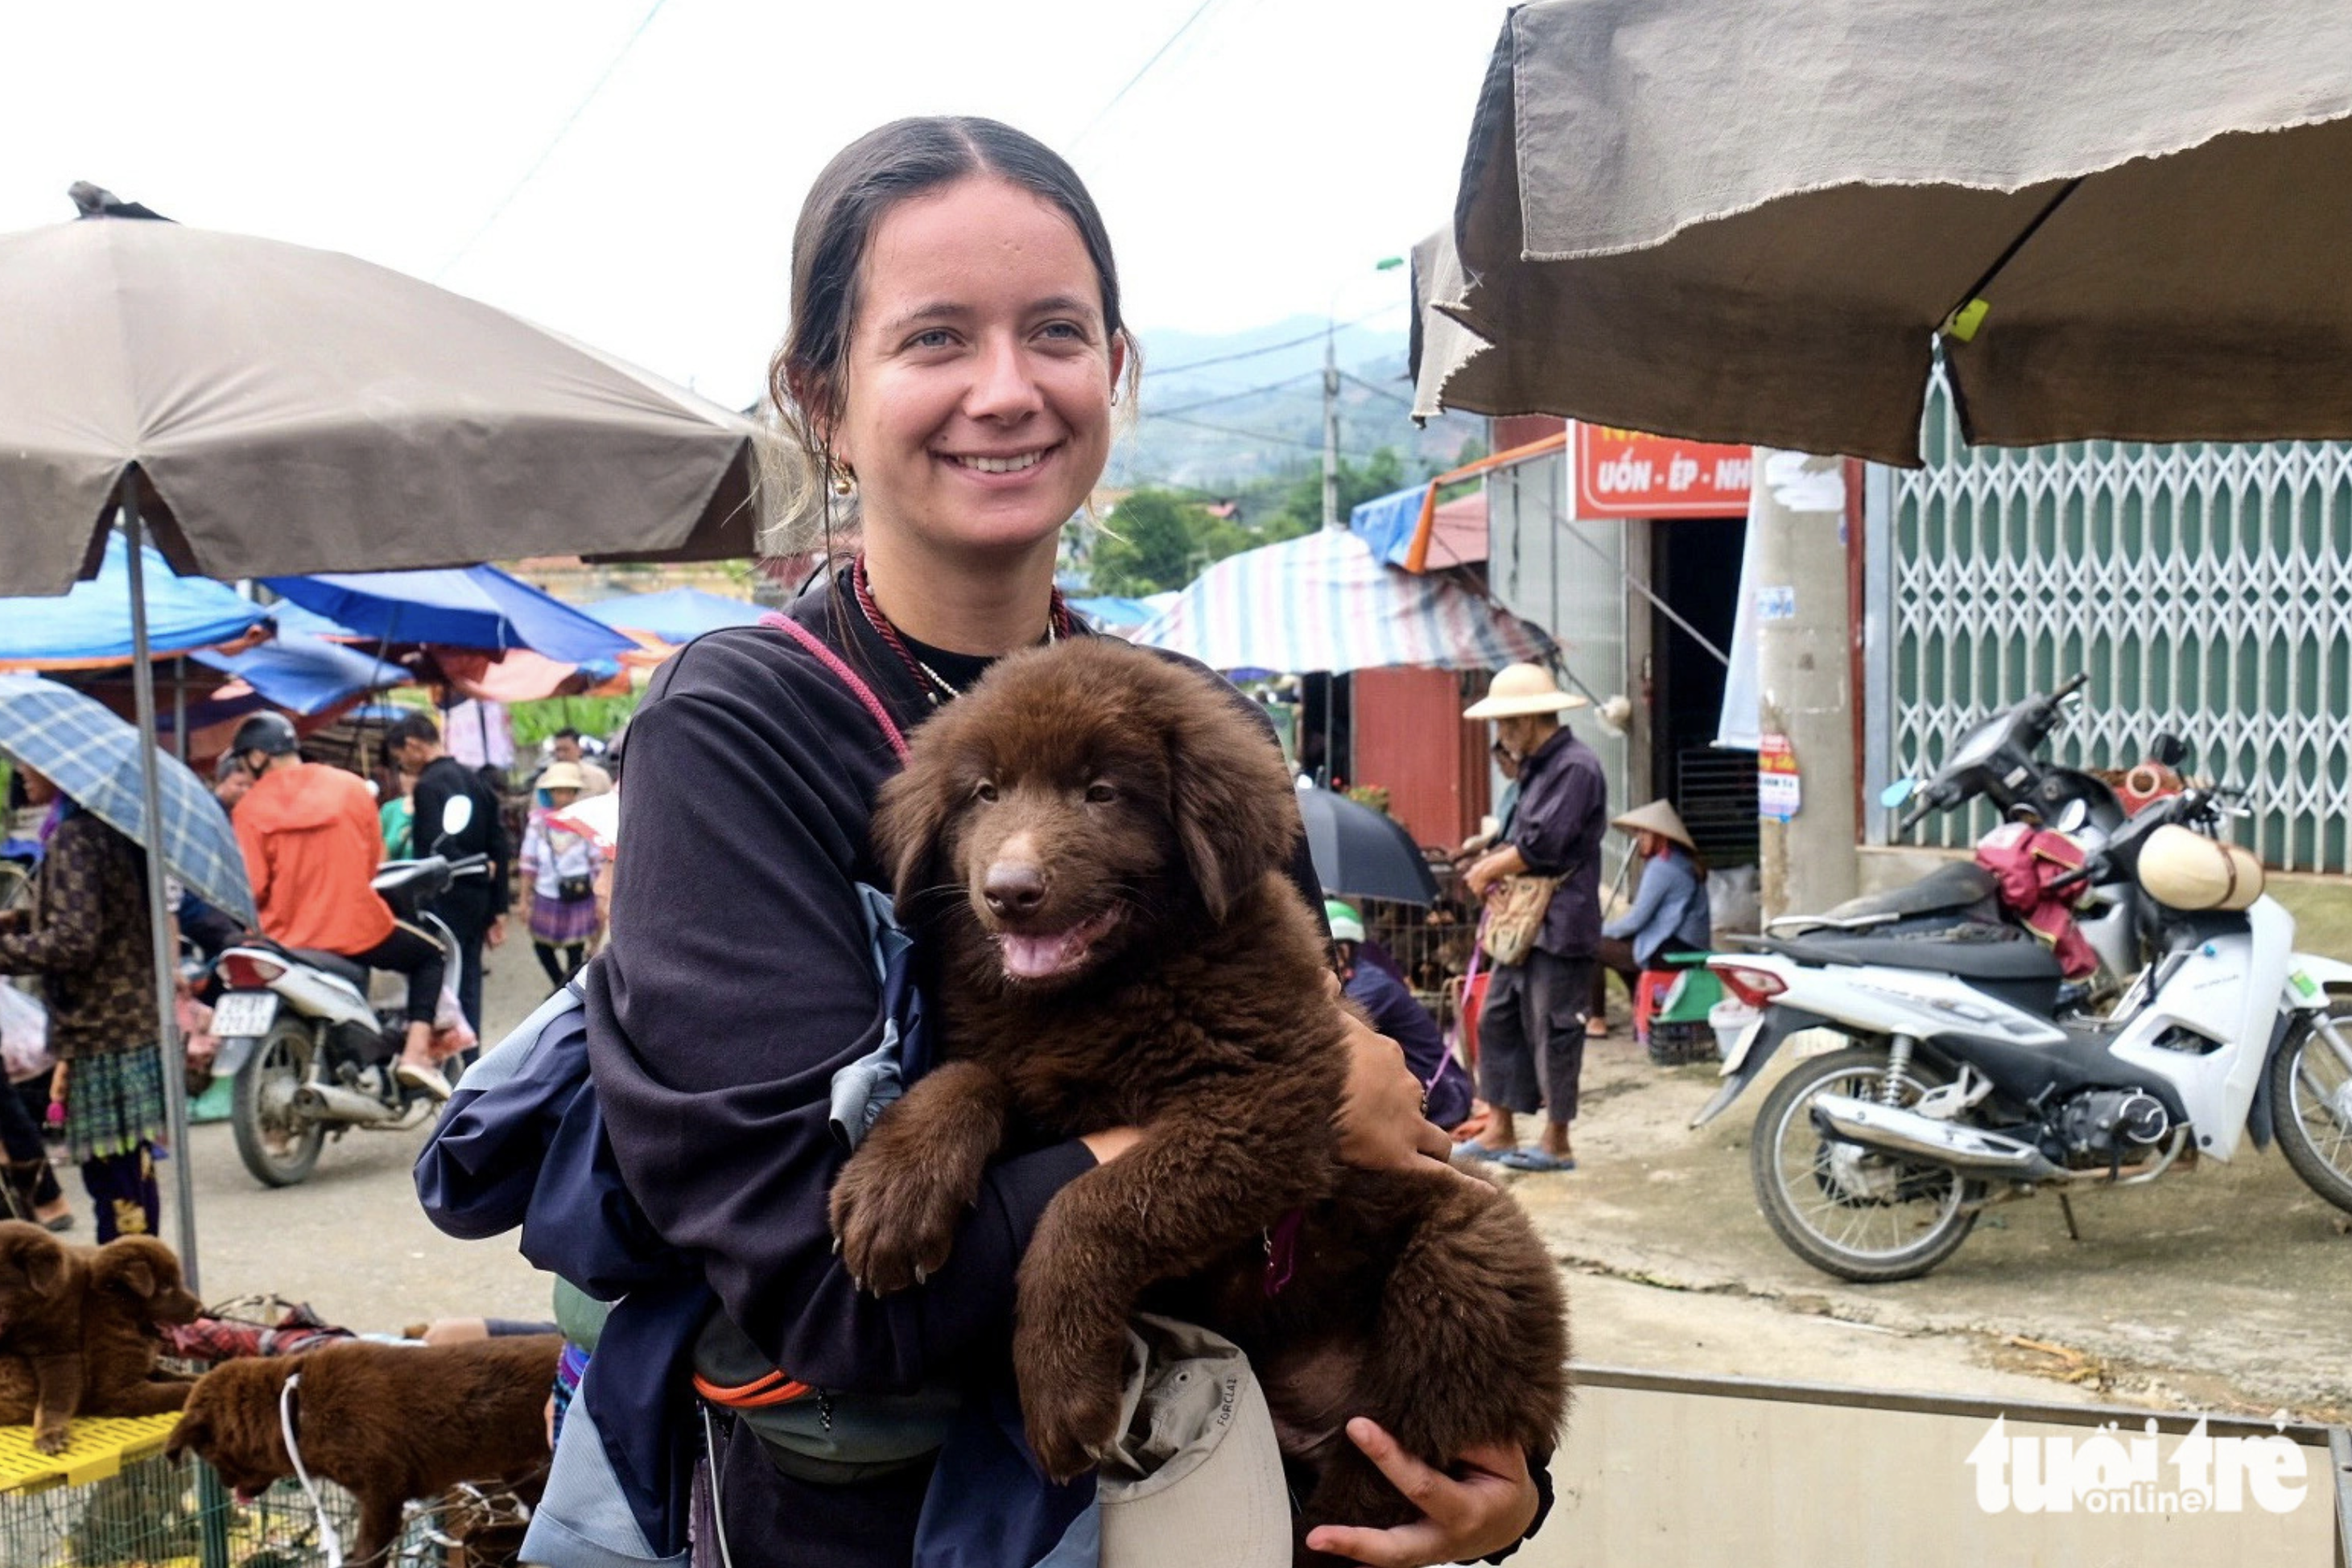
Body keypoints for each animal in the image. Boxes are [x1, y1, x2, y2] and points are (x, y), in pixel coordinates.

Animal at [166, 1335, 559, 1561]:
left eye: (209, 1455)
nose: (226, 1487)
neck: (299, 1407)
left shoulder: (382, 1490)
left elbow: (370, 1548)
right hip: (521, 1468)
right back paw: (490, 1536)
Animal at [837, 639, 1570, 1561]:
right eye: (985, 793)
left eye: (1103, 791)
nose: (1009, 890)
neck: (1098, 994)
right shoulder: (1025, 1062)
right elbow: (967, 1079)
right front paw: (894, 1189)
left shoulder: (1264, 1107)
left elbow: (1089, 1205)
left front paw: (1059, 1386)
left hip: (1463, 1266)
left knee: (1384, 1470)